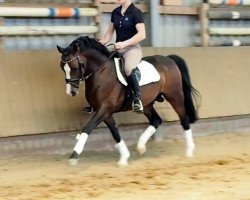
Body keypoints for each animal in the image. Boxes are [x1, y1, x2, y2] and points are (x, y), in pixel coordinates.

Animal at [57, 35, 201, 166]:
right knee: (156, 120)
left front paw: (74, 155)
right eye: (62, 68)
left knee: (184, 119)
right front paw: (124, 158)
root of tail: (169, 59)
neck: (102, 73)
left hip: (175, 96)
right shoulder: (105, 112)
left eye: (74, 67)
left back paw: (189, 152)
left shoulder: (105, 108)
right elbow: (115, 133)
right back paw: (141, 147)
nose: (70, 92)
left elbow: (87, 128)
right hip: (147, 104)